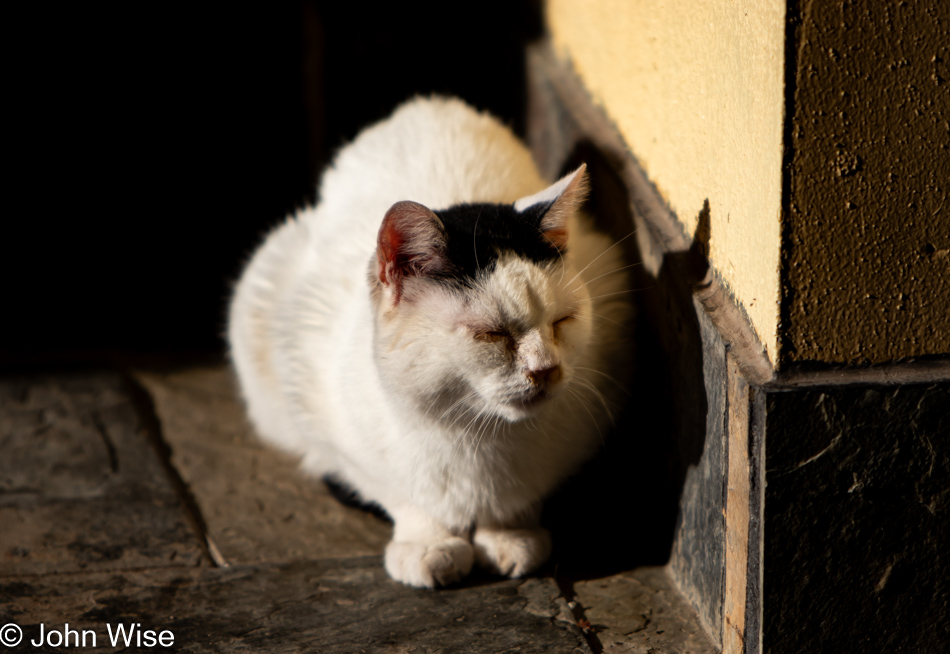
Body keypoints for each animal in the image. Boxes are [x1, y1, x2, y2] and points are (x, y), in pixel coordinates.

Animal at [227, 96, 636, 588]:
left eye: (563, 321)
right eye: (490, 333)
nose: (546, 369)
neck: (476, 439)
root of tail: (424, 104)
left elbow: (522, 498)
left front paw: (508, 535)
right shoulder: (309, 376)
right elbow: (401, 494)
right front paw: (428, 543)